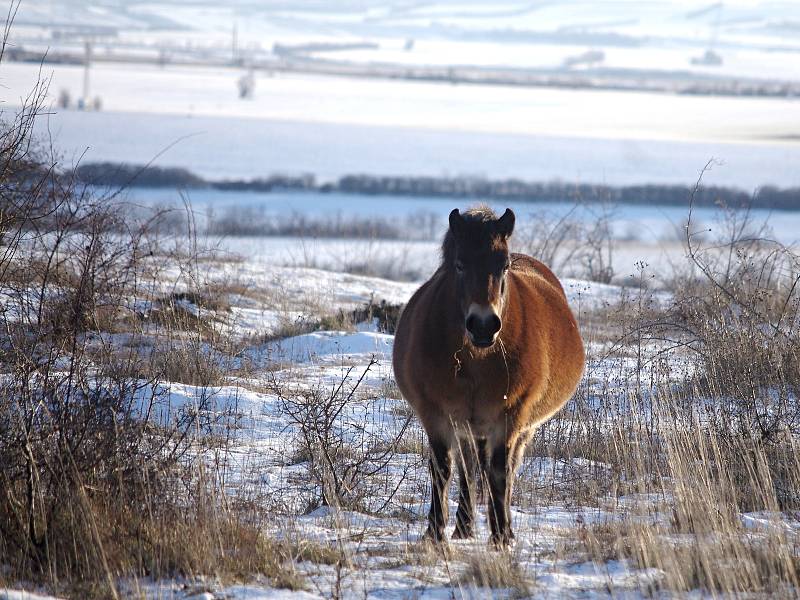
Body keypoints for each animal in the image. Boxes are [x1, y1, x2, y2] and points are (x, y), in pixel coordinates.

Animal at [392, 207, 580, 548]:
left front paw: (501, 536)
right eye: (460, 264)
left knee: (502, 469)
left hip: (517, 429)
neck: (476, 359)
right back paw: (463, 527)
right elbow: (443, 469)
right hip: (467, 427)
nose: (483, 325)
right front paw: (434, 534)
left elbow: (499, 473)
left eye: (503, 266)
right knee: (468, 470)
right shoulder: (436, 415)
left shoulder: (510, 417)